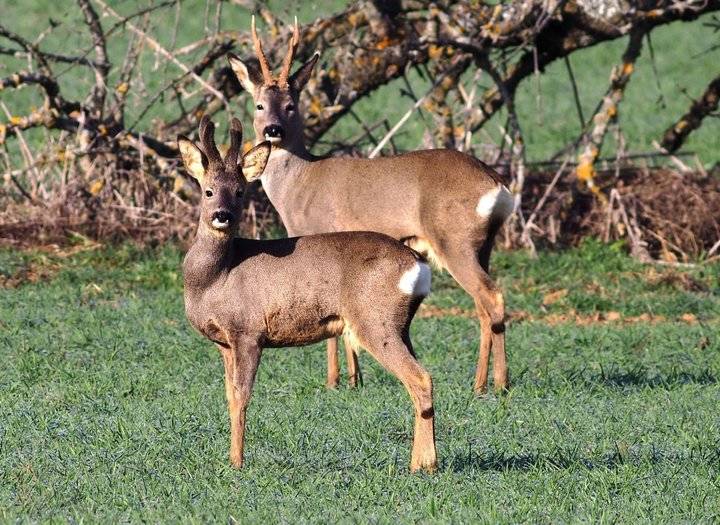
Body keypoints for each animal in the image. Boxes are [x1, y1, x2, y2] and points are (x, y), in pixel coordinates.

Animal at [180, 114, 438, 470]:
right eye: (208, 191)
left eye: (240, 191)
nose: (223, 215)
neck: (216, 278)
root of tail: (418, 264)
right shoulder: (224, 343)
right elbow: (230, 396)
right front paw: (231, 458)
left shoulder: (248, 331)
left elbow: (244, 395)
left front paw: (237, 463)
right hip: (401, 326)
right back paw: (427, 461)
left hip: (375, 322)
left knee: (420, 378)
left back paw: (421, 466)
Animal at [228, 17, 516, 392]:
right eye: (259, 105)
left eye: (292, 105)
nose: (273, 130)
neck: (298, 184)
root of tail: (498, 186)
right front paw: (355, 379)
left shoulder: (319, 234)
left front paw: (334, 381)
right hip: (484, 245)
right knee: (483, 304)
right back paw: (483, 383)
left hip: (455, 240)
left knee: (491, 297)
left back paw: (494, 384)